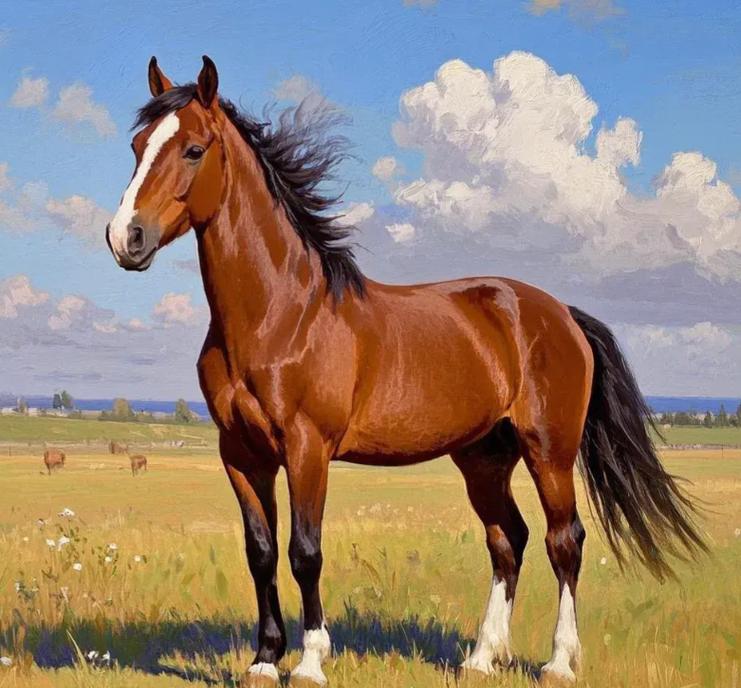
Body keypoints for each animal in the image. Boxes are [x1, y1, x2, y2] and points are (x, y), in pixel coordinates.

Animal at [106, 56, 706, 687]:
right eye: (138, 145)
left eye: (194, 149)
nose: (125, 238)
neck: (281, 314)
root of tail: (560, 313)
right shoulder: (241, 454)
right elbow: (261, 552)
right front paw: (265, 660)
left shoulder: (307, 449)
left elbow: (305, 551)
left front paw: (311, 661)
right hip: (484, 457)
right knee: (507, 540)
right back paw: (481, 658)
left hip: (549, 450)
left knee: (563, 540)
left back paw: (559, 662)